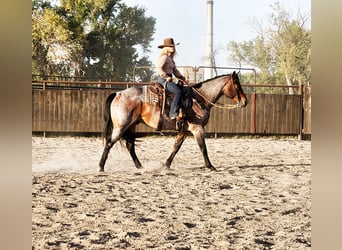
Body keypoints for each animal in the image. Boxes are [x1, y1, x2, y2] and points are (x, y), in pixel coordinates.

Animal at [100, 71, 247, 172]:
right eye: (237, 84)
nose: (245, 101)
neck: (199, 99)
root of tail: (117, 94)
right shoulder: (197, 128)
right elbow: (203, 148)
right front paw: (210, 166)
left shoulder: (184, 130)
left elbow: (176, 147)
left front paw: (166, 165)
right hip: (121, 127)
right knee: (109, 143)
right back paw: (101, 167)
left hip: (131, 126)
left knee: (130, 146)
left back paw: (140, 166)